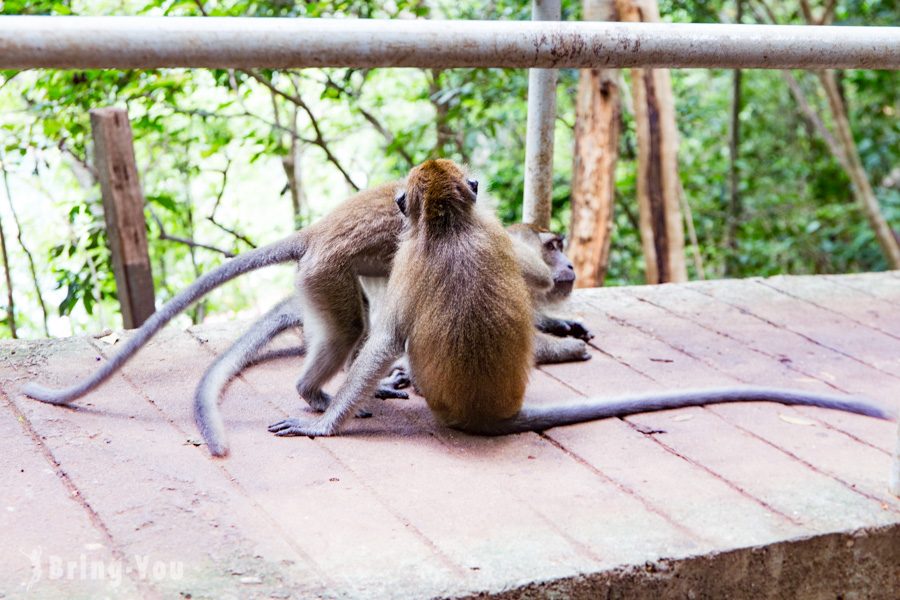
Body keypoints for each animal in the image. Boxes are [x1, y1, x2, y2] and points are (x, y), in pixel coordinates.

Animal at [266, 159, 892, 446]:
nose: (564, 264)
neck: (452, 222)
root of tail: (489, 412)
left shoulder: (411, 256)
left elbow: (387, 340)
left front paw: (325, 426)